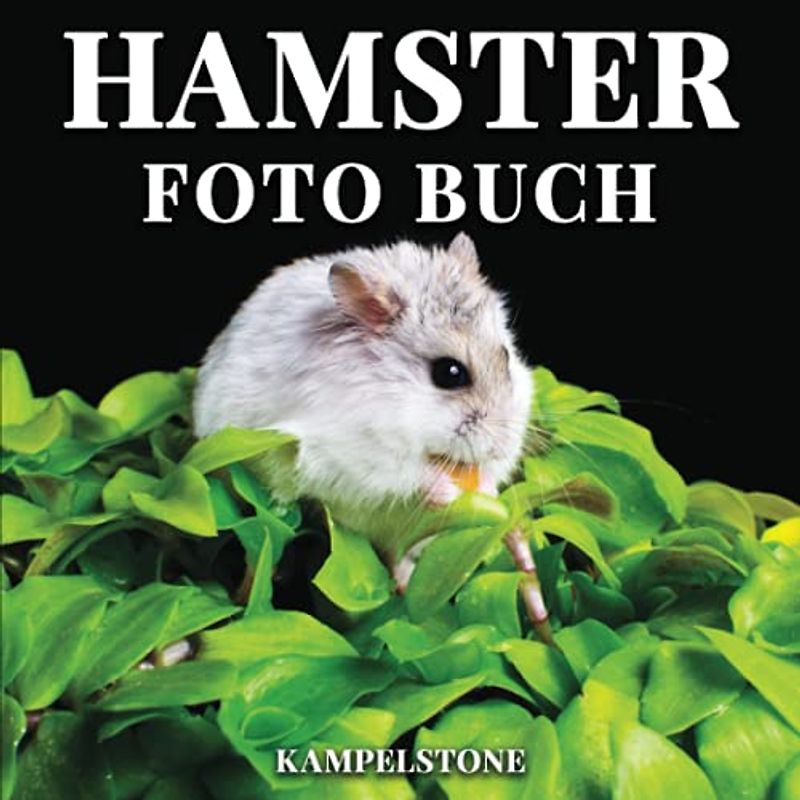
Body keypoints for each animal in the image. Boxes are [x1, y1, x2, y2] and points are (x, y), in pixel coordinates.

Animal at [193, 233, 533, 564]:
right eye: (450, 373)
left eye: (505, 356)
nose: (501, 448)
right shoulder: (350, 451)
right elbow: (406, 472)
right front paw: (445, 491)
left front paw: (486, 486)